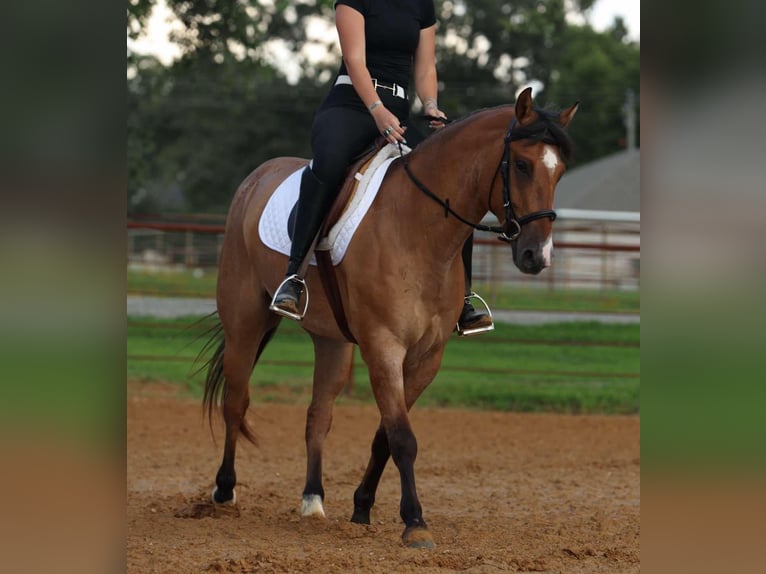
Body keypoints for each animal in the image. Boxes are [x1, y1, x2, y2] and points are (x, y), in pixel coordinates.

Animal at [201, 87, 578, 548]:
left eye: (559, 172)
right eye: (521, 165)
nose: (537, 256)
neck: (419, 227)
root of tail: (256, 177)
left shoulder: (426, 356)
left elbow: (385, 434)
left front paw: (362, 507)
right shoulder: (384, 346)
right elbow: (402, 436)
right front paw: (415, 522)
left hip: (332, 342)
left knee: (317, 416)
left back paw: (312, 500)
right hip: (245, 322)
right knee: (236, 401)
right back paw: (224, 491)